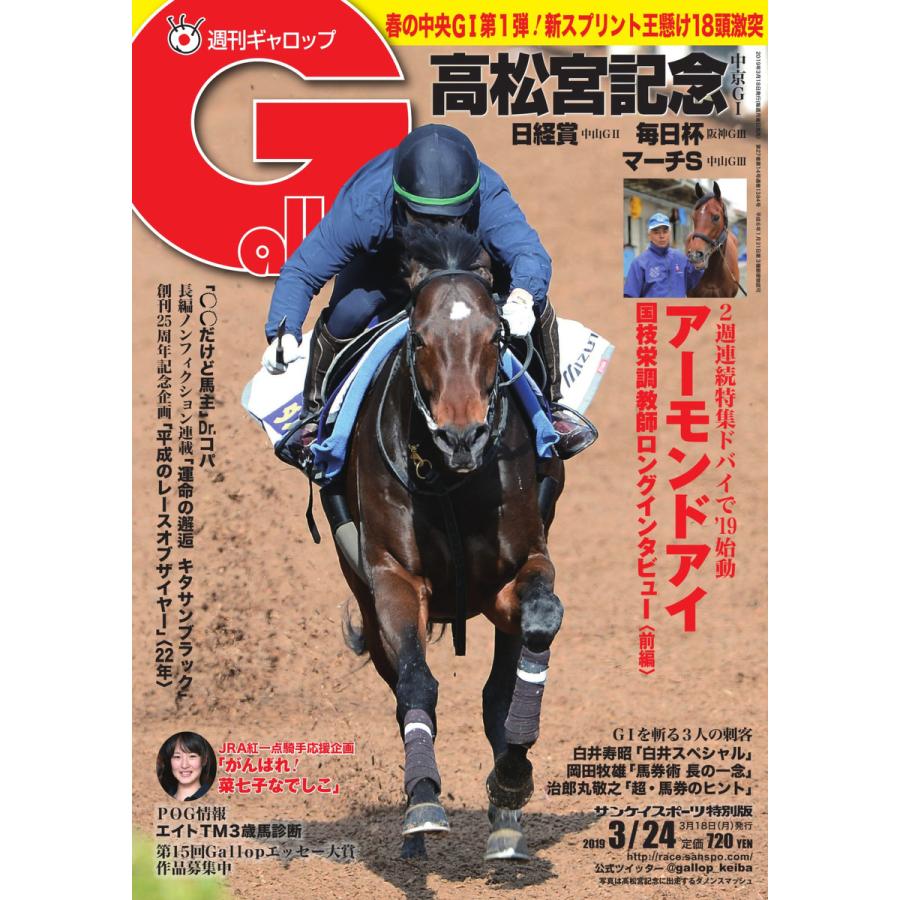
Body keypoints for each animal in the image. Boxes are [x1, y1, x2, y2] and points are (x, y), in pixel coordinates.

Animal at [331, 223, 566, 862]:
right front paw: (423, 802)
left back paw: (506, 815)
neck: (453, 480)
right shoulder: (394, 578)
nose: (463, 435)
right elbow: (416, 681)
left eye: (496, 335)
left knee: (498, 689)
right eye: (419, 338)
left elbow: (534, 632)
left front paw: (511, 781)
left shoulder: (519, 570)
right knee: (399, 680)